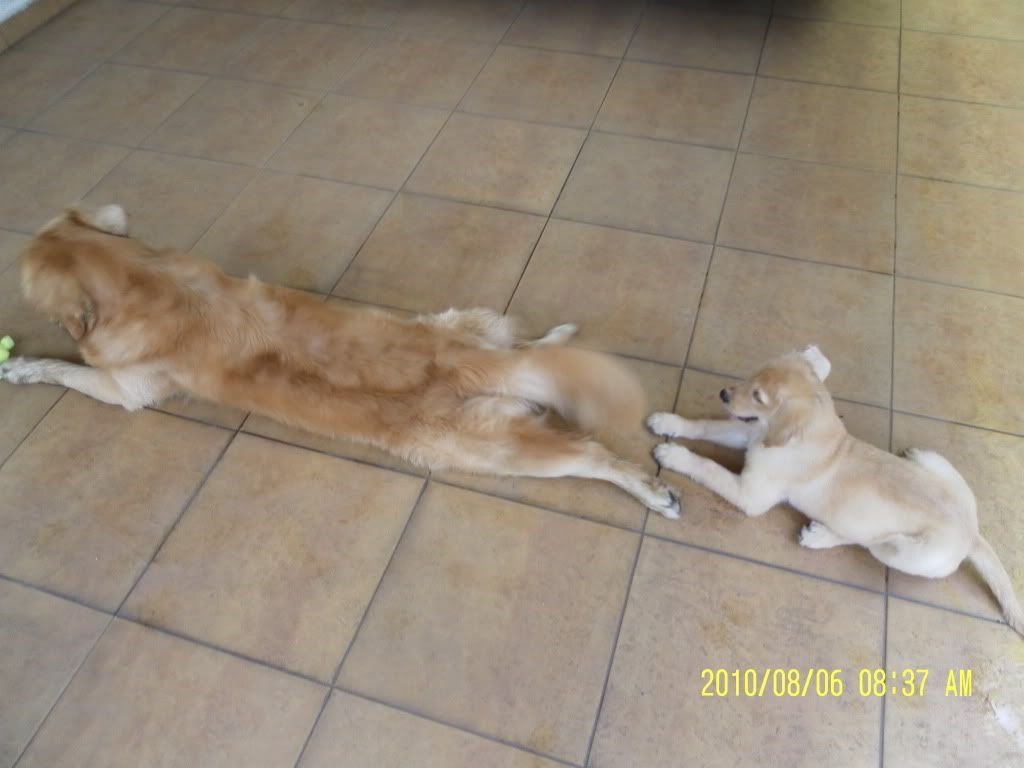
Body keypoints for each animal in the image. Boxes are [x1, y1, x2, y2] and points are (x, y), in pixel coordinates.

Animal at [0, 205, 680, 518]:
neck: (146, 279)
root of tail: (472, 365)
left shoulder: (127, 390)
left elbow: (69, 369)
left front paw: (20, 365)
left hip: (492, 452)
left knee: (591, 457)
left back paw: (652, 492)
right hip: (471, 323)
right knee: (530, 348)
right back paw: (554, 339)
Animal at [648, 345, 1024, 637]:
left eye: (758, 397)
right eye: (752, 376)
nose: (724, 394)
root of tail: (972, 532)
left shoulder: (751, 494)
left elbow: (708, 467)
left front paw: (674, 455)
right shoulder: (749, 435)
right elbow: (706, 426)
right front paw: (669, 422)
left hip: (902, 551)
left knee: (864, 540)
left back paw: (819, 536)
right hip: (941, 467)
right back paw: (912, 452)